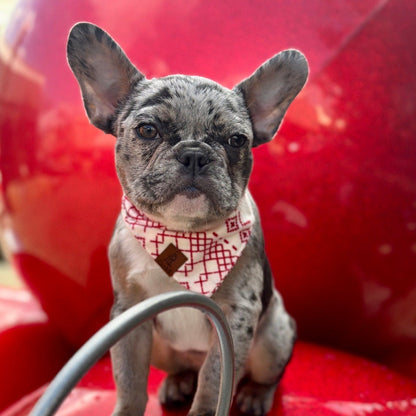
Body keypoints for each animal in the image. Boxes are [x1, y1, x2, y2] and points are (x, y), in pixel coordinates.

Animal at [67, 22, 308, 416]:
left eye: (237, 140)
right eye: (147, 130)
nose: (195, 154)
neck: (178, 236)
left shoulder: (237, 318)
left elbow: (213, 380)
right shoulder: (129, 316)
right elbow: (129, 379)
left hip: (272, 338)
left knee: (263, 373)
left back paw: (256, 395)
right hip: (162, 349)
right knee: (183, 369)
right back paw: (177, 382)